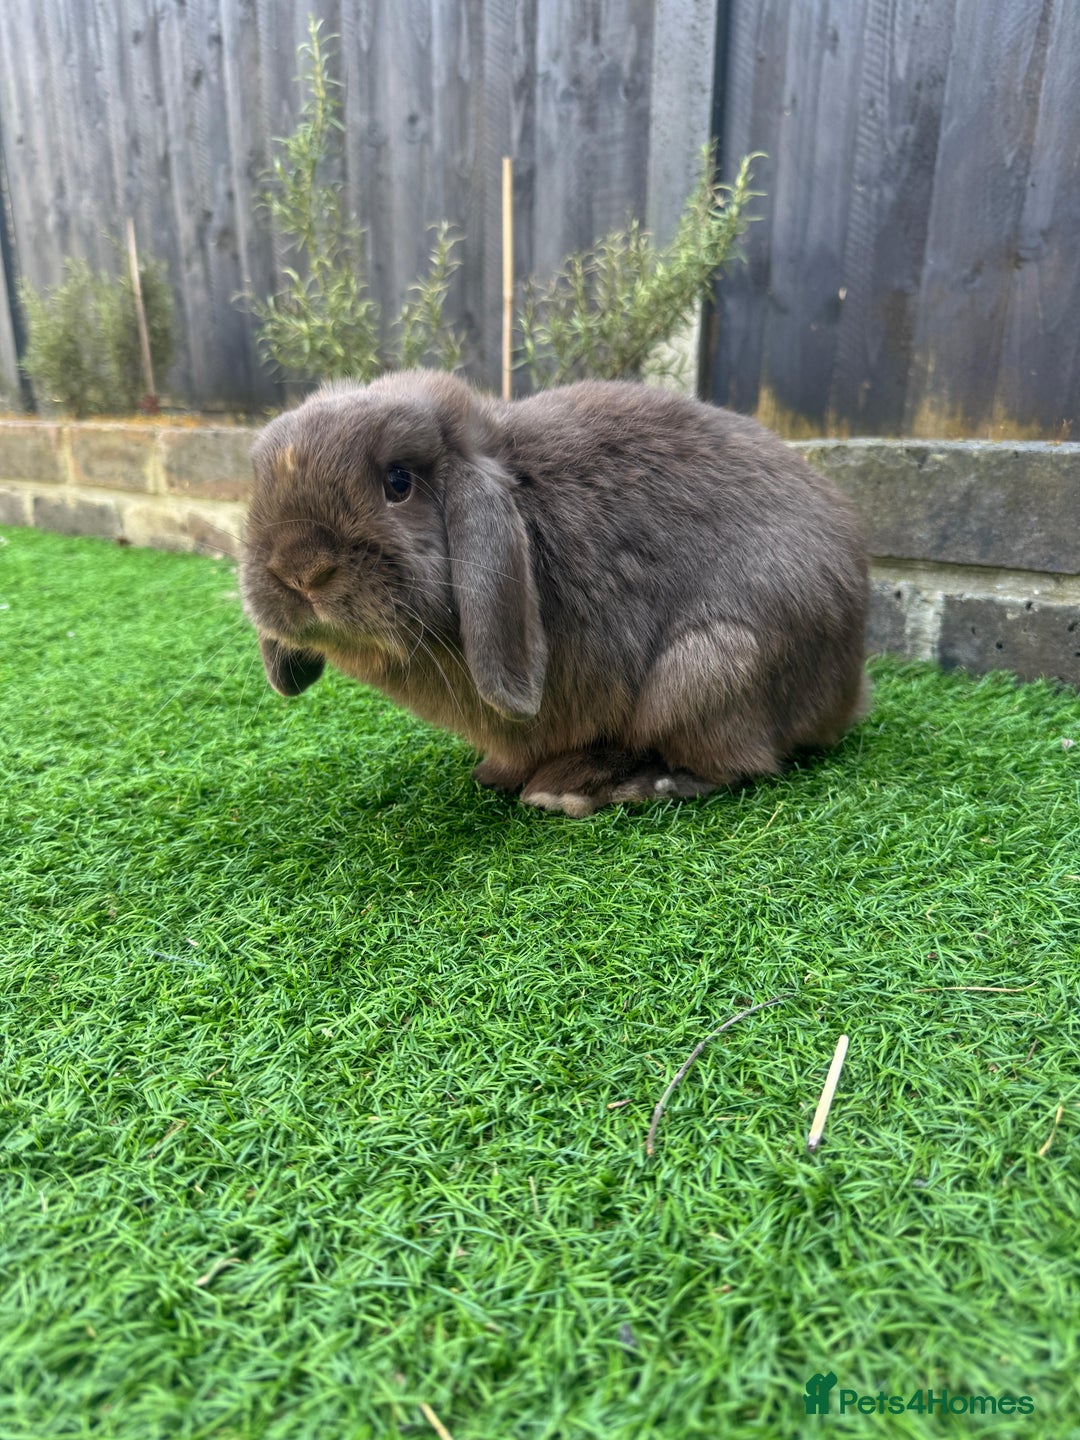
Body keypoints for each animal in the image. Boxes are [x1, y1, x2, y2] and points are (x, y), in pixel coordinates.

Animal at [240, 369, 869, 816]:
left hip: (707, 668)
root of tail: (848, 687)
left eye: (398, 482)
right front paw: (491, 773)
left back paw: (602, 787)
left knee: (733, 764)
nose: (300, 569)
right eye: (261, 482)